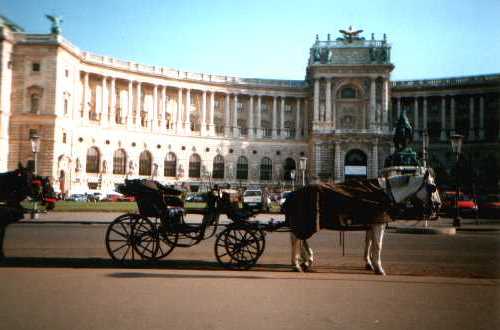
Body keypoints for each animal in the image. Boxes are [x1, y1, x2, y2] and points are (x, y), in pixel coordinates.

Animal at [282, 168, 442, 276]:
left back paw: (304, 260)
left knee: (299, 238)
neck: (385, 193)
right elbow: (378, 245)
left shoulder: (371, 224)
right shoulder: (378, 224)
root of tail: (292, 193)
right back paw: (297, 263)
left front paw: (369, 263)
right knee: (296, 238)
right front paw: (379, 268)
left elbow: (369, 243)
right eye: (433, 187)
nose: (438, 205)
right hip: (306, 221)